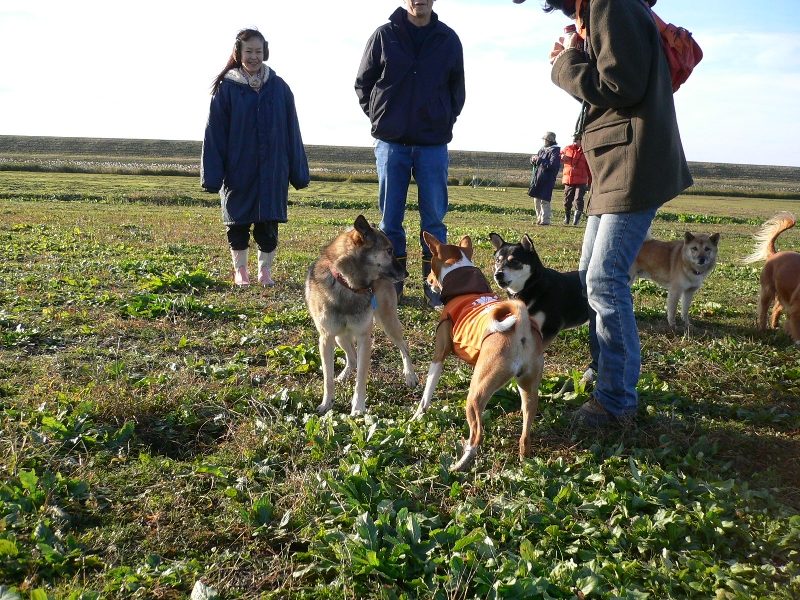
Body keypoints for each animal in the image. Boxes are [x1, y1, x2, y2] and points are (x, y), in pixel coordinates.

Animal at [305, 215, 418, 416]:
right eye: (389, 250)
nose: (406, 273)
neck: (347, 285)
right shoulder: (326, 338)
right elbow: (328, 378)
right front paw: (327, 403)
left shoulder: (365, 337)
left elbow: (361, 378)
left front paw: (358, 407)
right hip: (340, 337)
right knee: (352, 358)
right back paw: (342, 376)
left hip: (388, 323)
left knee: (403, 347)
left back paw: (410, 376)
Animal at [413, 232, 545, 472]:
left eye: (431, 268)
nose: (427, 281)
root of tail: (520, 324)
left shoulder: (439, 355)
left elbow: (427, 393)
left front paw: (418, 415)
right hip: (529, 390)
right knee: (525, 434)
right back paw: (524, 460)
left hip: (475, 395)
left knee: (477, 436)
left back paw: (459, 464)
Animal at [743, 212, 800, 345]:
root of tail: (775, 254)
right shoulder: (796, 312)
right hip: (767, 290)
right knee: (763, 311)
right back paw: (763, 329)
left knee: (776, 308)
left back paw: (775, 325)